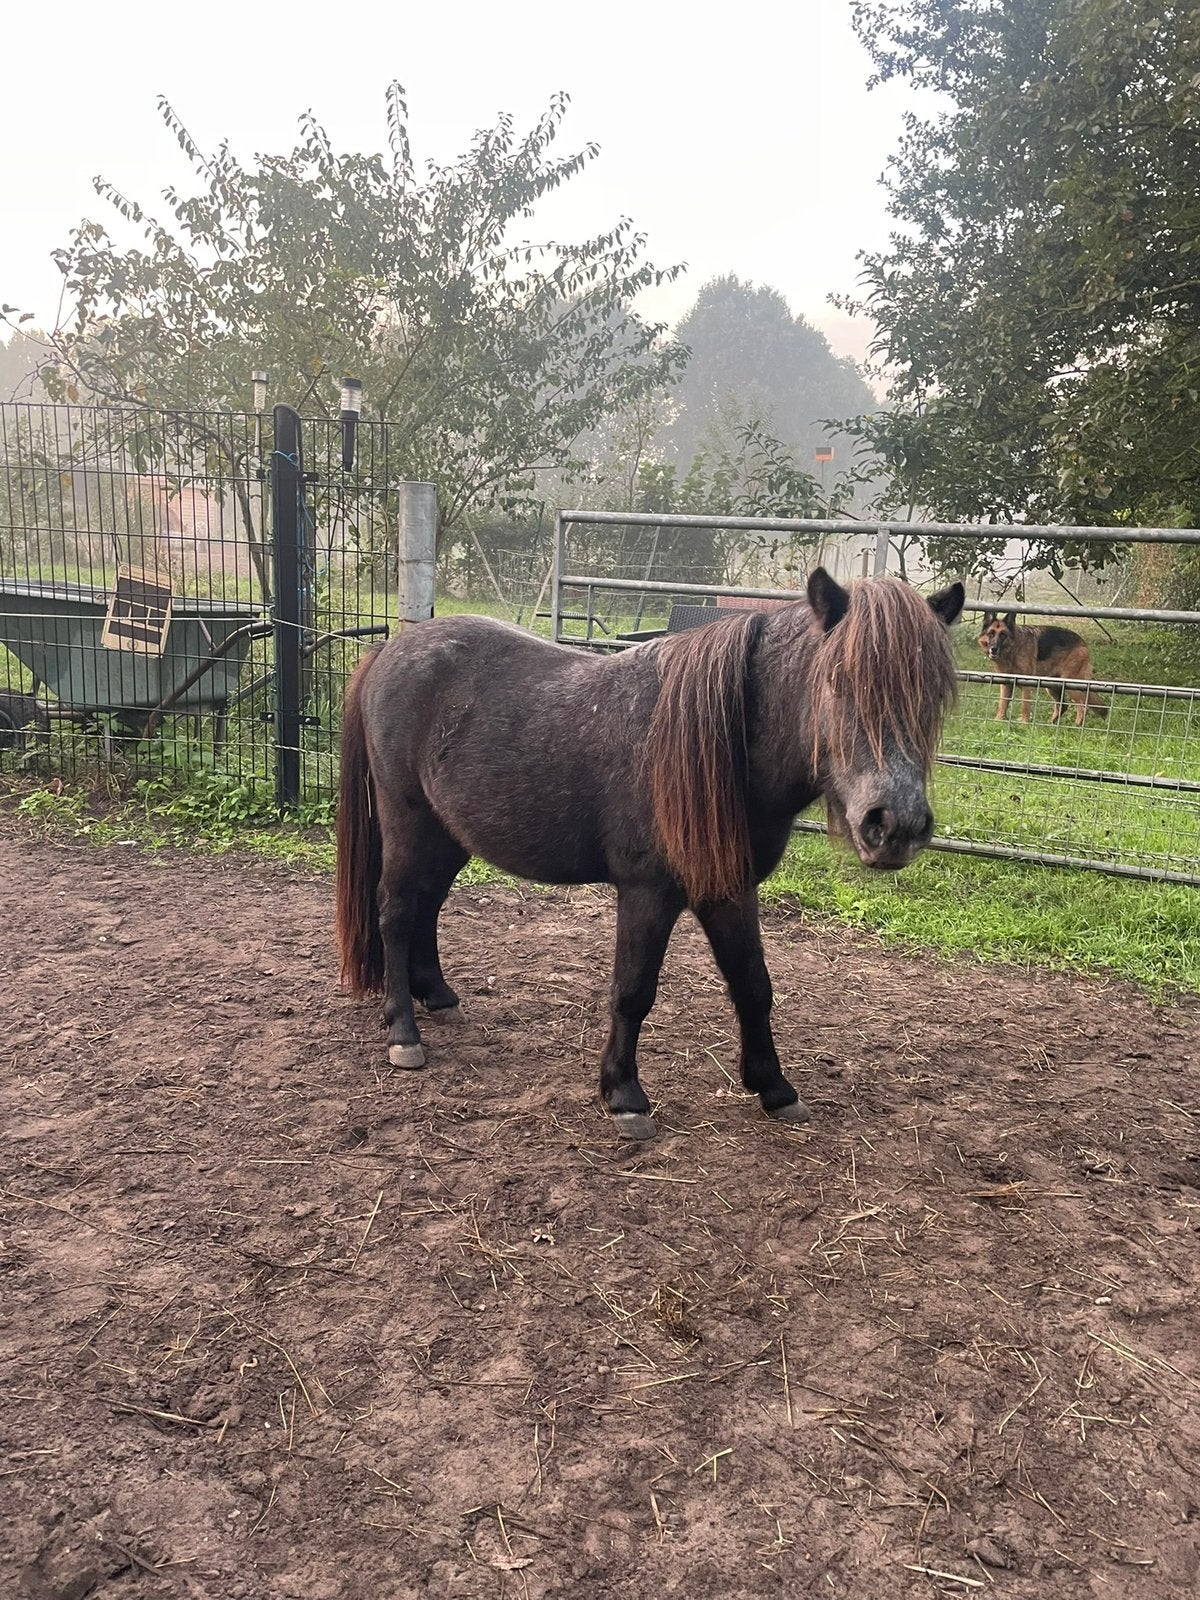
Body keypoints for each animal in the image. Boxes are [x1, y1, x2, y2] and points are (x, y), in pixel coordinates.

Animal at [336, 568, 964, 1139]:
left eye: (933, 695)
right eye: (838, 681)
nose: (896, 825)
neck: (724, 749)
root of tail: (390, 651)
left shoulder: (729, 888)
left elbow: (753, 985)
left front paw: (774, 1087)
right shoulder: (648, 892)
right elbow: (633, 991)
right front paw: (624, 1095)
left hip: (448, 836)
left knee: (426, 906)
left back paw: (438, 997)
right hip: (408, 822)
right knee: (396, 913)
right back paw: (404, 1033)